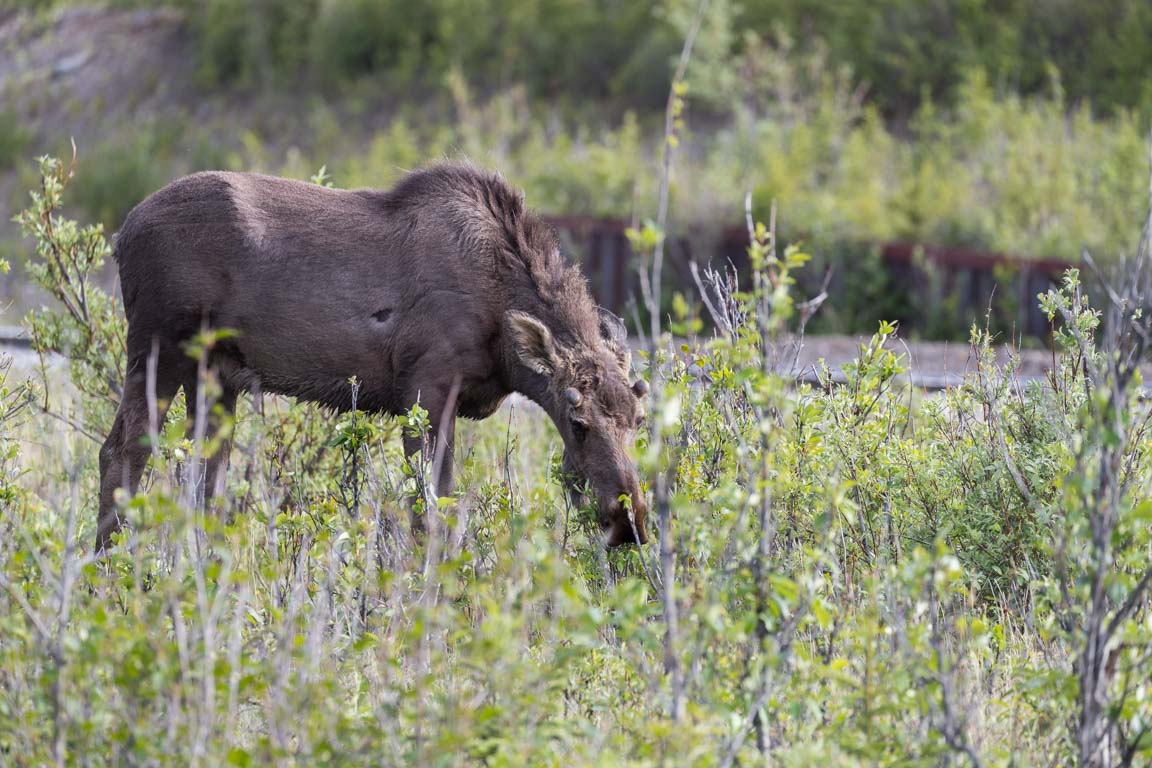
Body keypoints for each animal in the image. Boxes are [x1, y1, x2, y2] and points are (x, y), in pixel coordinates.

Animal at [94, 163, 654, 552]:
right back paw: (110, 572)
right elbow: (428, 513)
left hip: (215, 373)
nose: (629, 521)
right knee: (122, 450)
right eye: (577, 422)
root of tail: (122, 235)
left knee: (204, 477)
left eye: (639, 420)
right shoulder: (426, 388)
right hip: (158, 344)